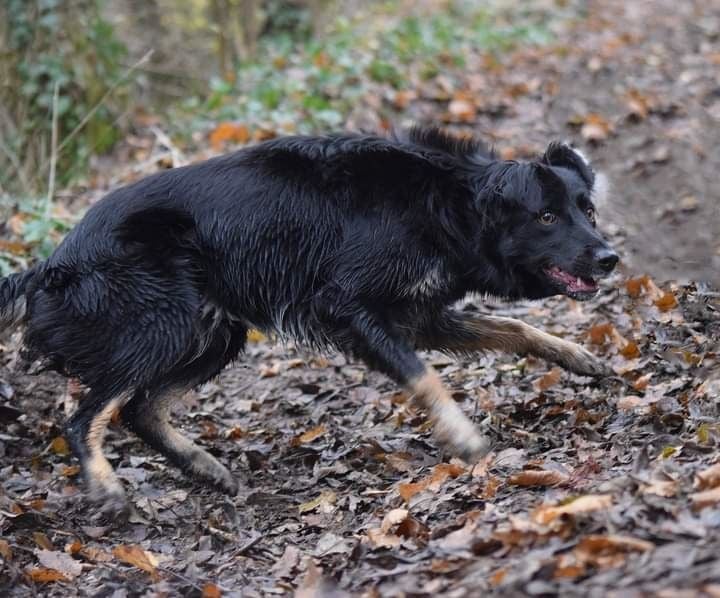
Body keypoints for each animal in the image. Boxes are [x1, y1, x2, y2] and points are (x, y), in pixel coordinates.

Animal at [0, 127, 620, 520]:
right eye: (546, 216)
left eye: (587, 211)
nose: (610, 258)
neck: (446, 204)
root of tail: (50, 265)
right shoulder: (349, 309)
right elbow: (424, 376)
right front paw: (463, 437)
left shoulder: (418, 316)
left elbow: (515, 332)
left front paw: (577, 356)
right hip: (163, 324)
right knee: (86, 416)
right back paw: (108, 490)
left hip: (215, 334)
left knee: (140, 409)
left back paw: (206, 468)